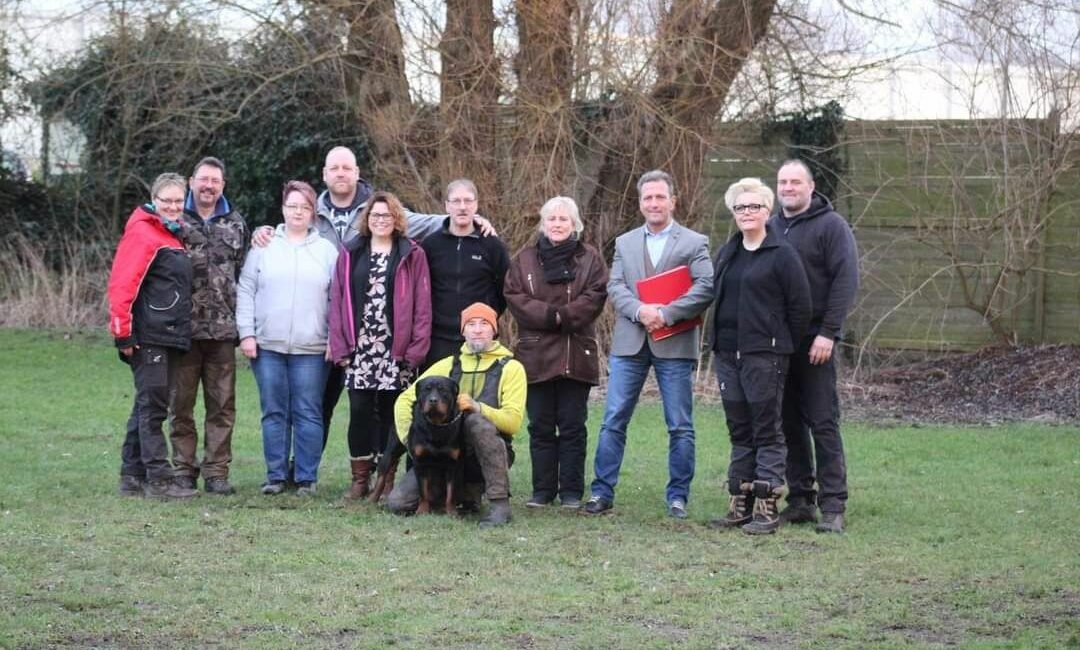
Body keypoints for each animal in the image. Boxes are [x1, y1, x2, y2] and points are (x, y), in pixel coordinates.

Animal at [369, 371, 466, 513]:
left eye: (443, 390)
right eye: (426, 389)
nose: (433, 400)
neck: (436, 425)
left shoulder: (453, 464)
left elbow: (451, 492)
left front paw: (451, 511)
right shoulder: (420, 462)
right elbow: (423, 490)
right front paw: (422, 510)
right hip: (392, 447)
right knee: (383, 472)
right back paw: (373, 498)